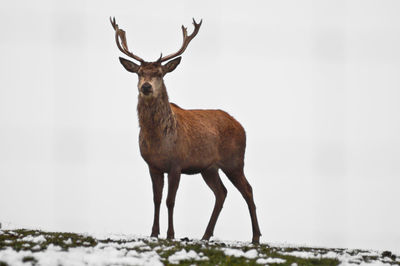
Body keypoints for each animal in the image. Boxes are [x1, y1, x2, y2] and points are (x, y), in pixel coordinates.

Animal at [111, 17, 262, 244]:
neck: (158, 140)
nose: (146, 87)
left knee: (248, 190)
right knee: (222, 193)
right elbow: (156, 199)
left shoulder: (177, 163)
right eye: (139, 73)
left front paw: (170, 234)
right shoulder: (153, 166)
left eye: (160, 74)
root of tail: (241, 126)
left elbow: (170, 201)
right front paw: (154, 233)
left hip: (234, 161)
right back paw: (206, 235)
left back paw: (255, 237)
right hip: (209, 168)